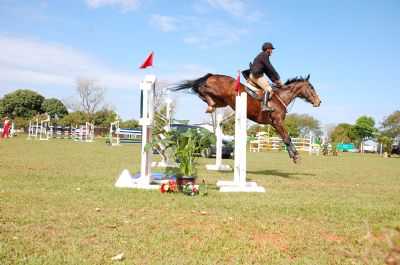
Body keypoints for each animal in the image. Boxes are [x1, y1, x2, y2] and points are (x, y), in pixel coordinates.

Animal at [170, 72, 320, 163]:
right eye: (311, 88)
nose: (319, 102)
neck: (280, 98)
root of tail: (212, 75)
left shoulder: (274, 124)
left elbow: (285, 138)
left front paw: (293, 156)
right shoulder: (277, 121)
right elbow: (287, 137)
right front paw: (296, 156)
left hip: (222, 101)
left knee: (202, 93)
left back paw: (210, 105)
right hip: (218, 91)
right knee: (201, 87)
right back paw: (209, 103)